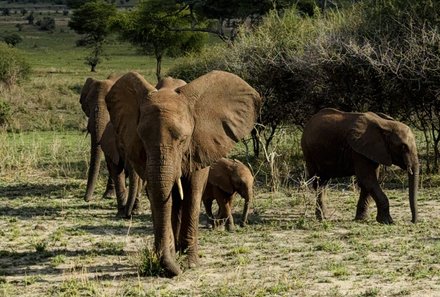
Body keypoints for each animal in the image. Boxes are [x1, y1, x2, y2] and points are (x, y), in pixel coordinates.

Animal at [105, 70, 262, 276]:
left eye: (183, 139)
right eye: (142, 138)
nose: (175, 270)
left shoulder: (200, 146)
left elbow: (193, 193)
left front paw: (190, 263)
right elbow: (160, 196)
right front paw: (171, 258)